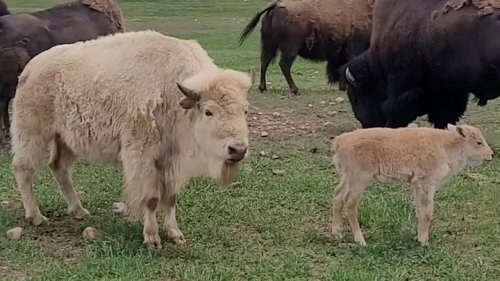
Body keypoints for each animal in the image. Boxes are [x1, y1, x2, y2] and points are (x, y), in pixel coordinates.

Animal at [9, 30, 254, 247]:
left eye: (245, 110)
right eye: (208, 111)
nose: (237, 150)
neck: (174, 95)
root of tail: (30, 68)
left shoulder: (171, 160)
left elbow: (170, 198)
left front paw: (176, 234)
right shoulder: (143, 157)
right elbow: (151, 198)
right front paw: (152, 238)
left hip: (65, 139)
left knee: (59, 167)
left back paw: (79, 211)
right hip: (32, 133)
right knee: (24, 169)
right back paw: (36, 217)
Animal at [239, 0, 376, 95]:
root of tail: (276, 5)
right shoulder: (354, 49)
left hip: (270, 44)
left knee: (264, 62)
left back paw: (263, 88)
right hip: (290, 49)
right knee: (284, 65)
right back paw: (295, 90)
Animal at [330, 124, 494, 245]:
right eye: (479, 142)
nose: (491, 155)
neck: (447, 146)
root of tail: (340, 140)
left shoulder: (417, 185)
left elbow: (419, 210)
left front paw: (418, 237)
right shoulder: (427, 183)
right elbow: (427, 212)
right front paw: (424, 242)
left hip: (347, 177)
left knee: (338, 196)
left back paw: (336, 233)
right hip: (359, 180)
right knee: (350, 203)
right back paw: (360, 240)